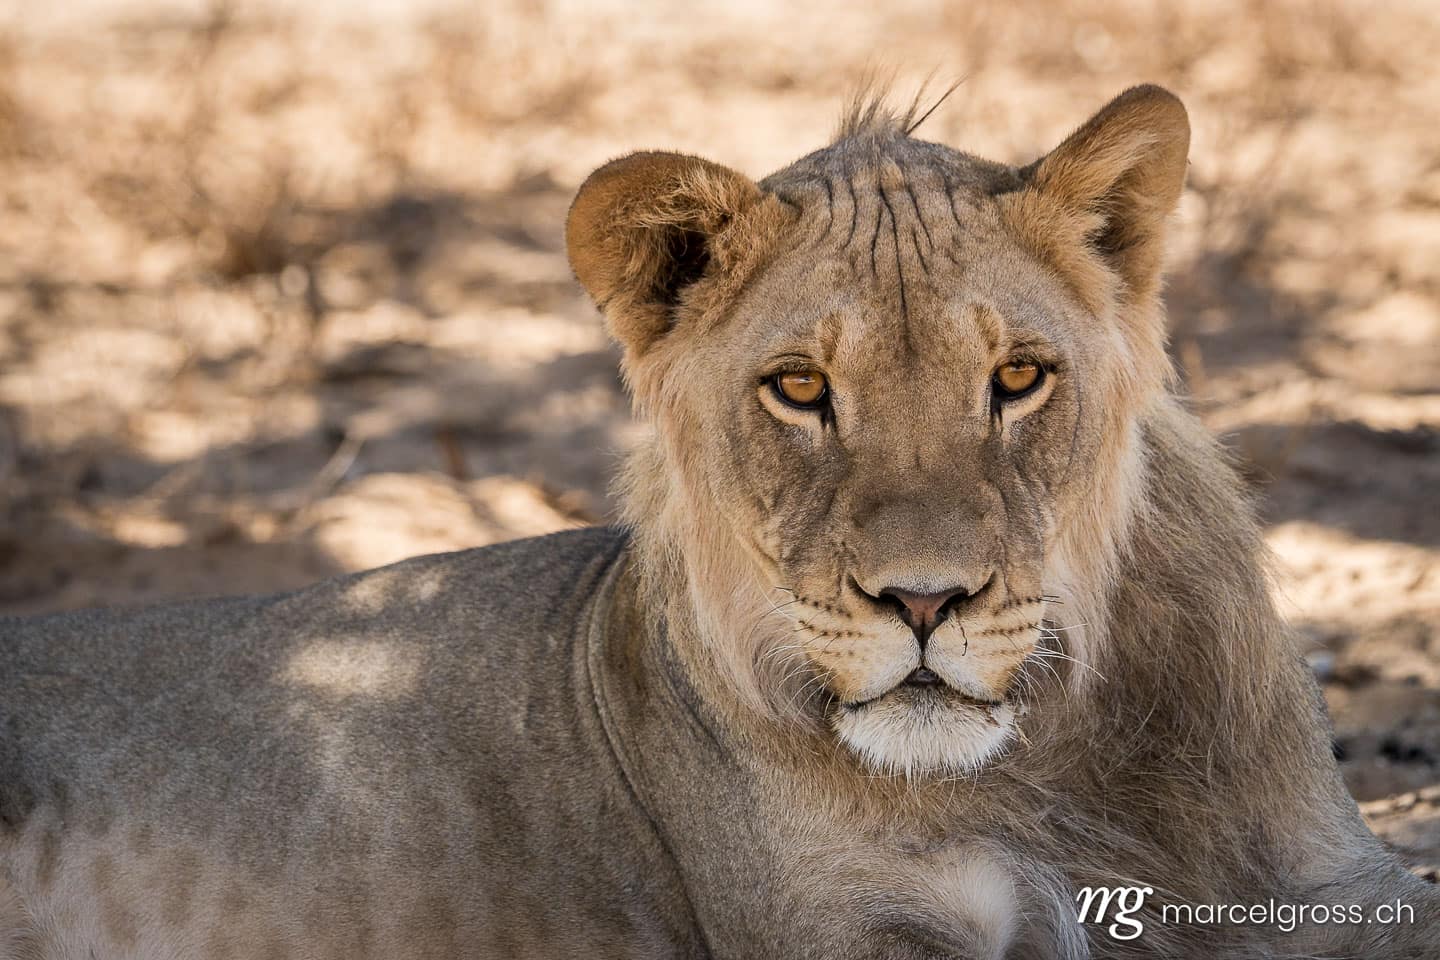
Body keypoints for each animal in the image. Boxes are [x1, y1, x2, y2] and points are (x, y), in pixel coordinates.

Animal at [0, 84, 1434, 959]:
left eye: (1019, 377)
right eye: (800, 390)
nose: (926, 602)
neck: (1049, 771)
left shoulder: (1336, 891)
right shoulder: (840, 933)